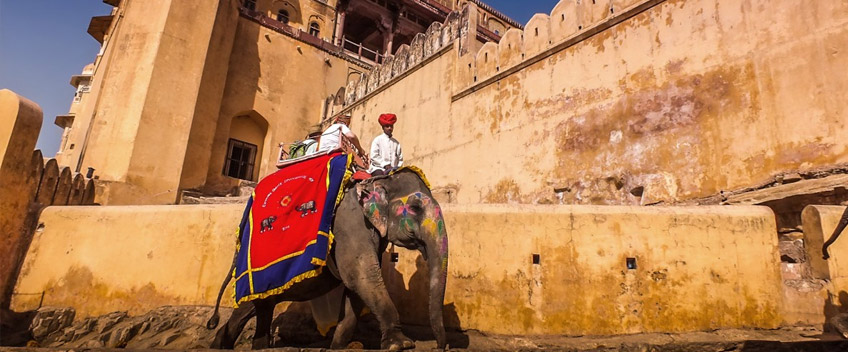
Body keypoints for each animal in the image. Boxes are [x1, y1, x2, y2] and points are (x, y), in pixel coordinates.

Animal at [204, 169, 450, 350]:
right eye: (416, 208)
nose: (441, 347)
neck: (379, 180)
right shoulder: (349, 223)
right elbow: (362, 276)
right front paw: (401, 345)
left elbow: (356, 288)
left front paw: (337, 346)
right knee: (248, 308)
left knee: (261, 307)